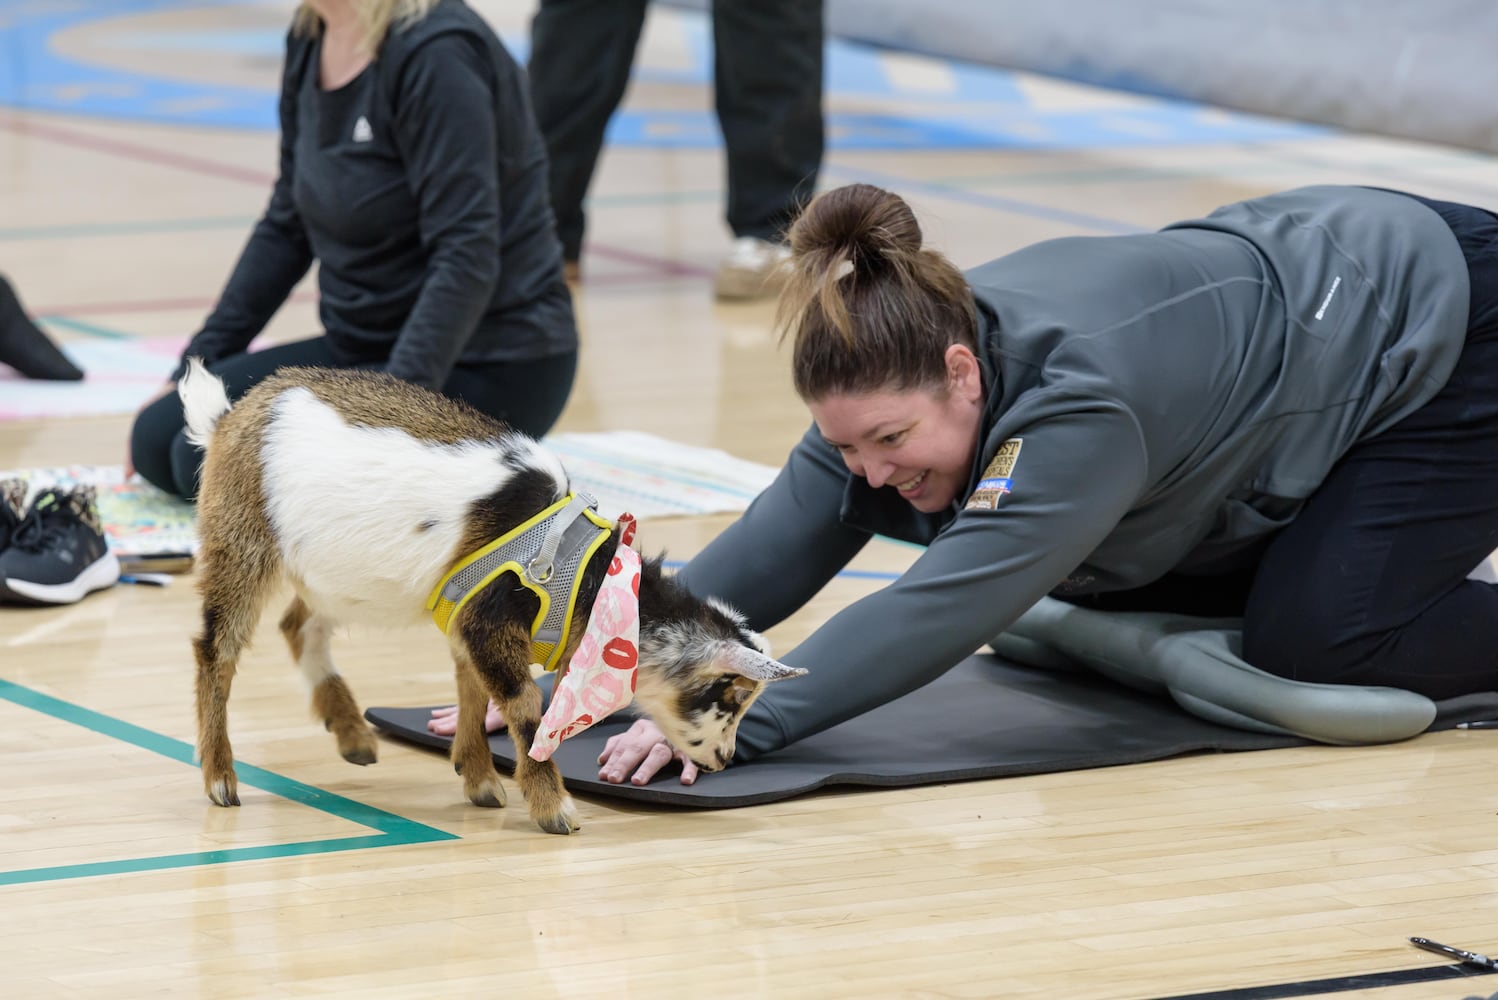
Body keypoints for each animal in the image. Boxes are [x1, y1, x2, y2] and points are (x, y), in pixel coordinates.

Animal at [179, 363, 802, 832]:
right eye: (729, 697)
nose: (723, 761)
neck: (592, 581)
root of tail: (231, 416)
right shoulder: (490, 615)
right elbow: (524, 707)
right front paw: (554, 808)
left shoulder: (465, 614)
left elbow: (471, 688)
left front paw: (479, 776)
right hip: (242, 540)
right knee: (216, 650)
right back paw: (220, 777)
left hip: (328, 570)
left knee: (298, 624)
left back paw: (351, 732)